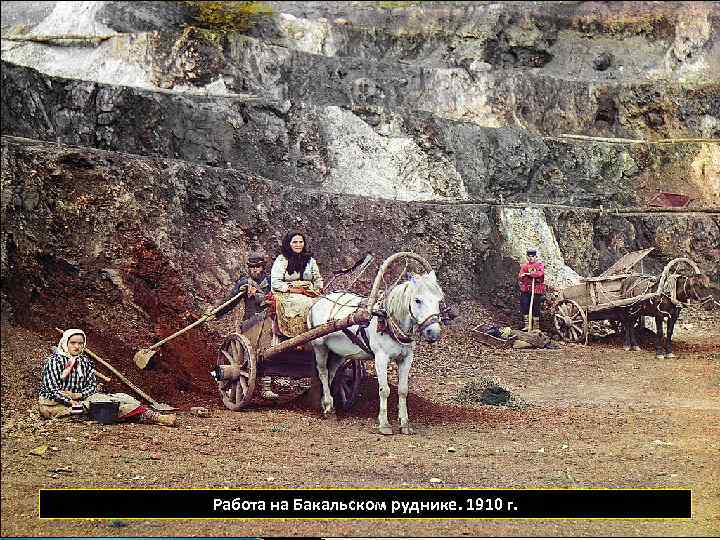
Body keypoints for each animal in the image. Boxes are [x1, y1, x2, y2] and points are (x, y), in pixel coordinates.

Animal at [308, 270, 444, 434]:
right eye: (417, 300)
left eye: (439, 300)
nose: (434, 332)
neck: (388, 320)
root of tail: (317, 302)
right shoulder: (381, 357)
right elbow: (384, 390)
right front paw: (384, 424)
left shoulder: (406, 358)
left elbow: (403, 390)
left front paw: (404, 424)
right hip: (319, 346)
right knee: (323, 373)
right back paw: (328, 406)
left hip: (338, 353)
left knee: (332, 373)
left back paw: (327, 404)